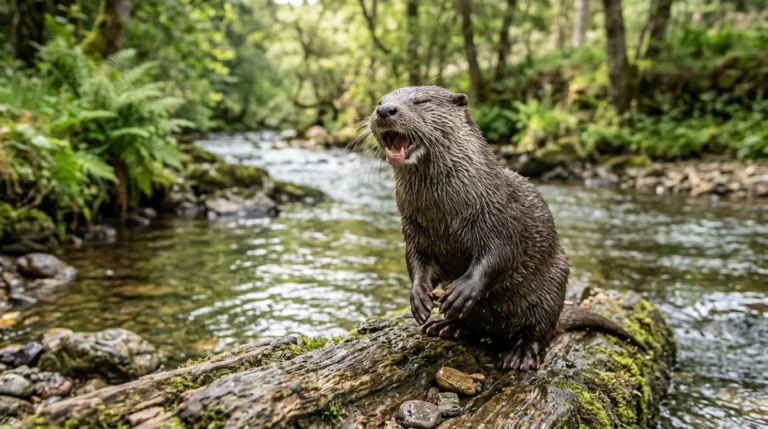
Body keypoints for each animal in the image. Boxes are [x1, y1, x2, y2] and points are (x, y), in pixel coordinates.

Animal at [367, 86, 641, 371]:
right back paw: (447, 326)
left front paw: (461, 291)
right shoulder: (414, 229)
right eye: (380, 101)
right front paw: (419, 296)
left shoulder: (500, 217)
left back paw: (519, 354)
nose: (385, 110)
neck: (444, 211)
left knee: (539, 333)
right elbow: (417, 262)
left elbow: (499, 256)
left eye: (421, 101)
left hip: (553, 288)